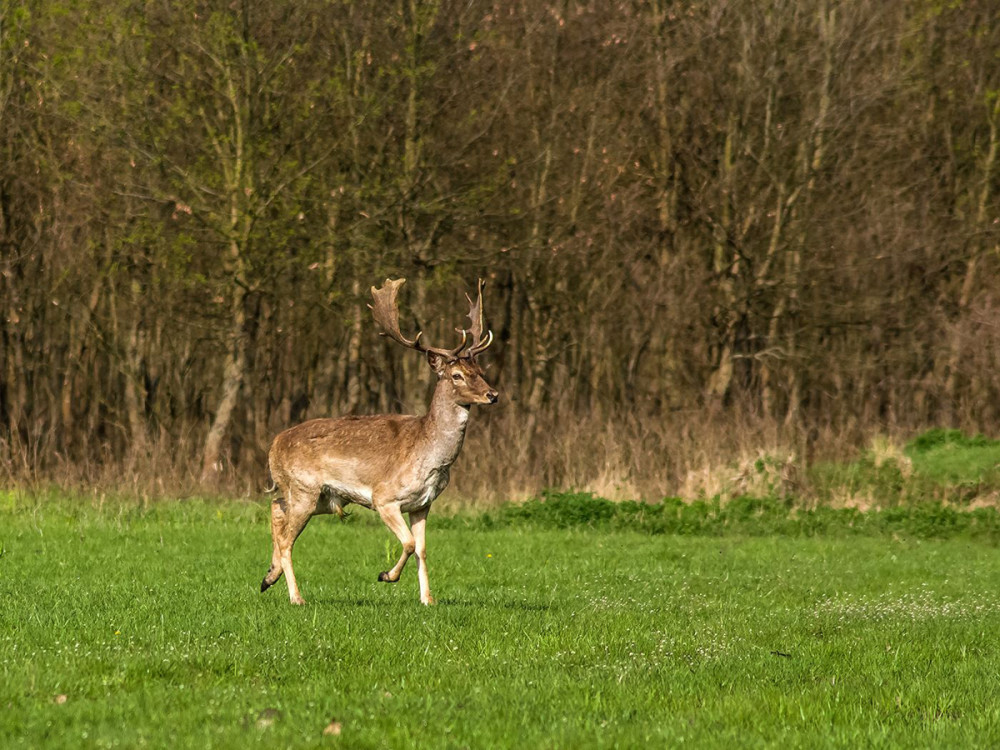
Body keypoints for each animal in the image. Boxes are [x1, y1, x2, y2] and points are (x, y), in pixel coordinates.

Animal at [260, 280, 498, 608]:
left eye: (482, 372)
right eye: (457, 375)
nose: (493, 394)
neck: (430, 455)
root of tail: (274, 444)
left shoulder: (423, 503)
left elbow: (422, 549)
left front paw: (428, 599)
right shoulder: (384, 497)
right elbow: (408, 543)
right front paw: (386, 575)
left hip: (321, 496)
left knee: (275, 508)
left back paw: (268, 578)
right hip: (303, 488)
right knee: (286, 536)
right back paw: (296, 597)